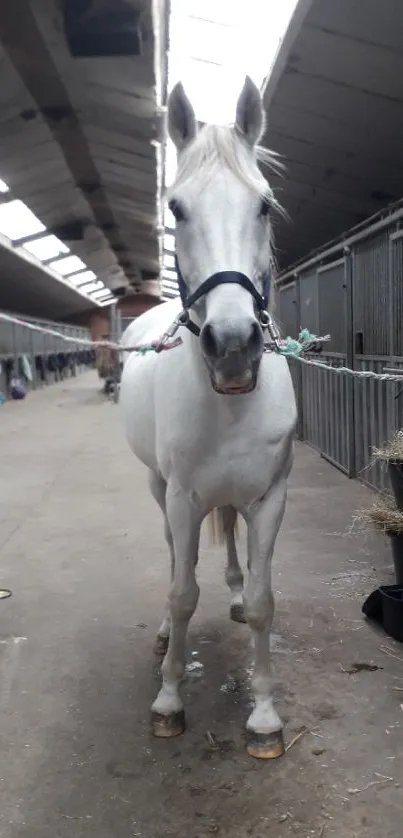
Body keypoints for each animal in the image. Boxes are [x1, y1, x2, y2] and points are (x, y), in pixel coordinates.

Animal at [119, 77, 296, 760]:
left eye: (264, 206)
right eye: (176, 209)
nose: (234, 344)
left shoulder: (270, 498)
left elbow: (268, 601)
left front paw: (266, 715)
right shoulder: (181, 496)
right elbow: (181, 592)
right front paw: (169, 701)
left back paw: (237, 595)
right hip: (157, 486)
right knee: (178, 560)